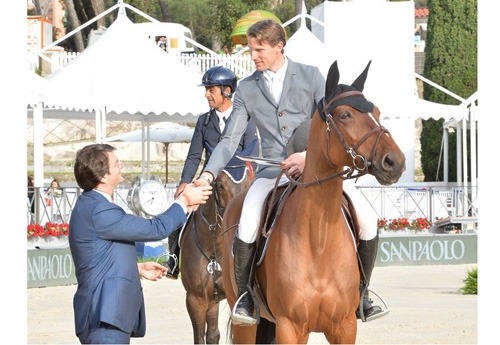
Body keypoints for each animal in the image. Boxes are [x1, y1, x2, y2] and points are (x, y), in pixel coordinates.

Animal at [220, 60, 406, 342]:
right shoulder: (291, 327)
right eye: (345, 115)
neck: (318, 238)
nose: (395, 161)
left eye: (376, 111)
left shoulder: (344, 327)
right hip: (246, 322)